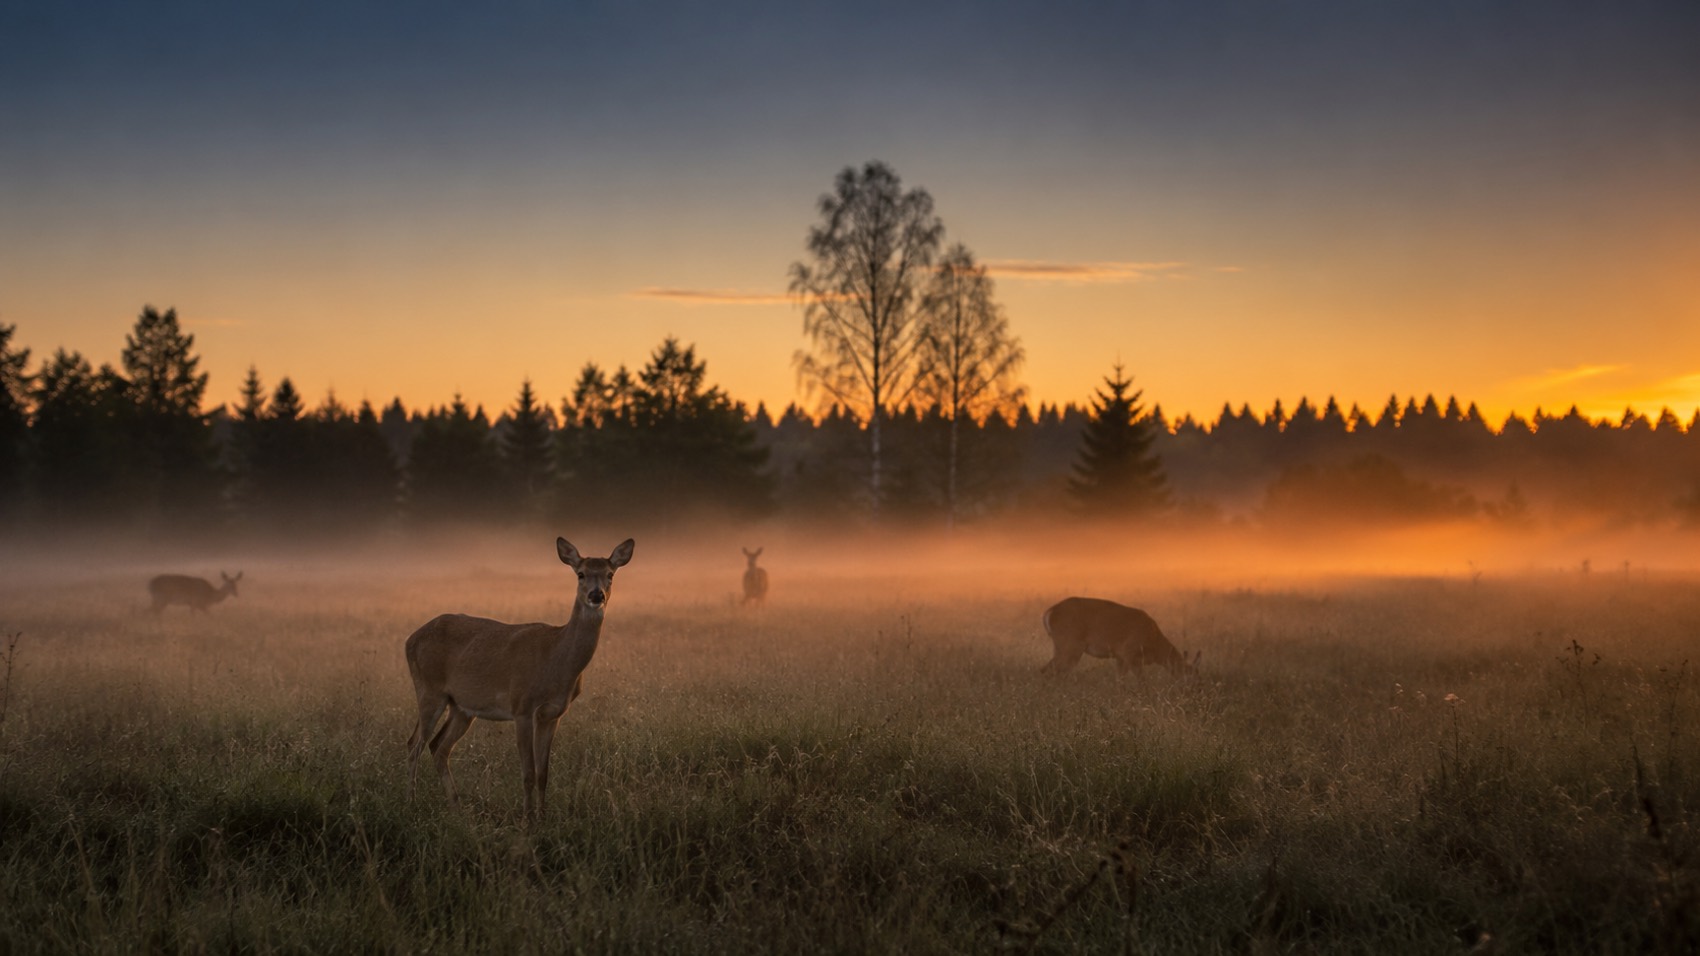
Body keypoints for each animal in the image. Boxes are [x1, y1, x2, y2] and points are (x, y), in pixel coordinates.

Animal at [405, 536, 634, 819]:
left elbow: (544, 773)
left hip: (461, 707)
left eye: (610, 574)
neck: (556, 660)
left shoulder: (553, 714)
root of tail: (410, 640)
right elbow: (528, 774)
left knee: (438, 747)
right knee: (414, 743)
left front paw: (543, 817)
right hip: (429, 690)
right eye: (580, 574)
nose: (596, 595)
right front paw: (527, 819)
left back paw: (457, 807)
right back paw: (412, 802)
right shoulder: (522, 706)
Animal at [1040, 597, 1199, 677]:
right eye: (1188, 674)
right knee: (1053, 669)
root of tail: (1050, 612)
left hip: (1060, 646)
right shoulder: (1129, 652)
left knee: (1048, 669)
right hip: (1071, 645)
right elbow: (1138, 681)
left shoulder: (1120, 657)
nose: (1194, 691)